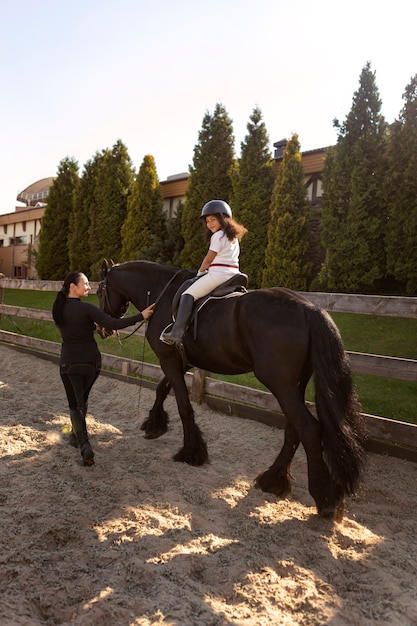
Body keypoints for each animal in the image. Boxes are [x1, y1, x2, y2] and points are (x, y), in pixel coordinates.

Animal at [96, 256, 364, 520]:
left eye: (99, 291)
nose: (102, 329)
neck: (162, 292)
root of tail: (311, 310)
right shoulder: (180, 361)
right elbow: (162, 389)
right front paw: (154, 424)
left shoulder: (168, 359)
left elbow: (183, 405)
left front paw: (191, 452)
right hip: (295, 384)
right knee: (294, 428)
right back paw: (273, 480)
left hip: (280, 384)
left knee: (308, 428)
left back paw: (324, 498)